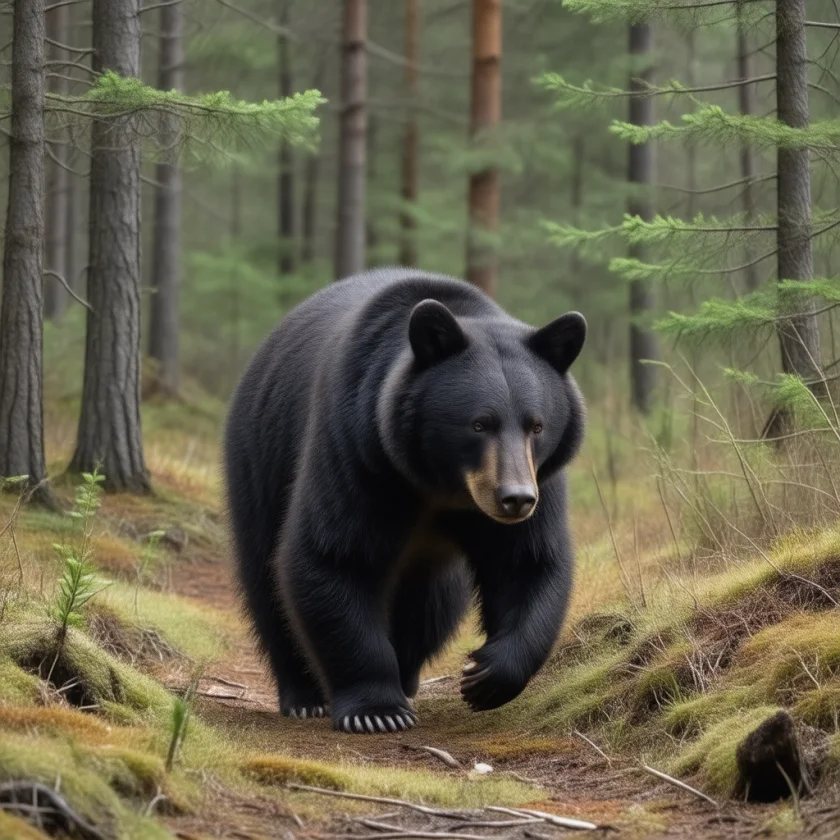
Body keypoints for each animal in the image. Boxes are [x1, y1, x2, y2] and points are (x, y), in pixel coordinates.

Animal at [223, 267, 586, 734]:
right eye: (479, 424)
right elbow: (335, 554)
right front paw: (376, 710)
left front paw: (486, 675)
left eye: (536, 425)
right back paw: (304, 695)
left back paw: (409, 676)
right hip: (261, 455)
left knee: (430, 607)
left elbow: (528, 561)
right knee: (264, 577)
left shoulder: (540, 477)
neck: (437, 485)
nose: (515, 499)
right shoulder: (357, 450)